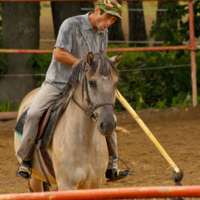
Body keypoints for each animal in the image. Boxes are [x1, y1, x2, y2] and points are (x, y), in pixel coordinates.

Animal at [14, 51, 122, 191]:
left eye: (115, 83)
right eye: (91, 82)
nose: (108, 124)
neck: (85, 142)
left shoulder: (94, 184)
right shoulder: (67, 185)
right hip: (35, 180)